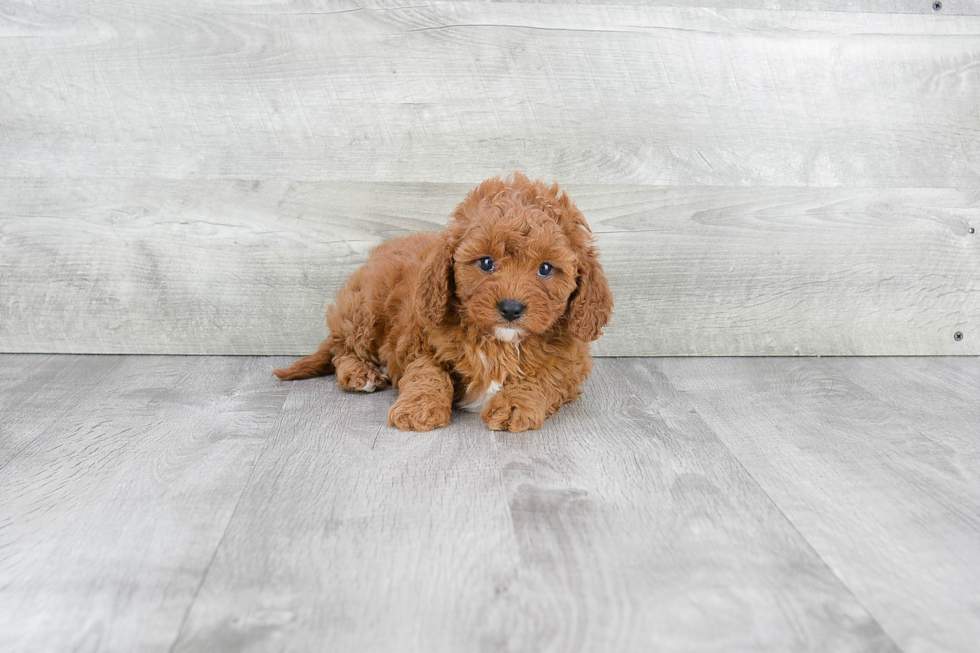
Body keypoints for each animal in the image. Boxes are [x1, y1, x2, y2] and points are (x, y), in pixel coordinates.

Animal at [274, 172, 612, 432]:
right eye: (486, 263)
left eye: (545, 268)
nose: (511, 308)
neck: (501, 343)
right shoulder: (418, 341)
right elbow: (428, 374)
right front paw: (419, 406)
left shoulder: (570, 364)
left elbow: (542, 378)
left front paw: (514, 404)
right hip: (363, 312)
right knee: (342, 350)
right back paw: (360, 374)